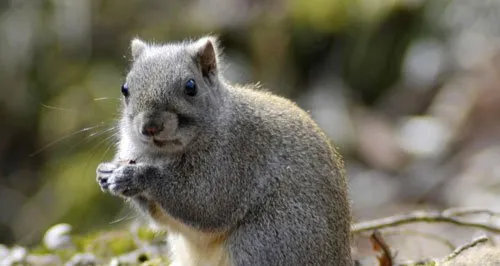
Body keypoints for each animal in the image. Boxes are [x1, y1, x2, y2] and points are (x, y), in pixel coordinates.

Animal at [96, 35, 352, 266]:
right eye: (125, 88)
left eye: (191, 87)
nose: (150, 126)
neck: (163, 154)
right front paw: (107, 172)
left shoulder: (234, 159)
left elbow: (204, 202)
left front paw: (137, 176)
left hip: (266, 238)